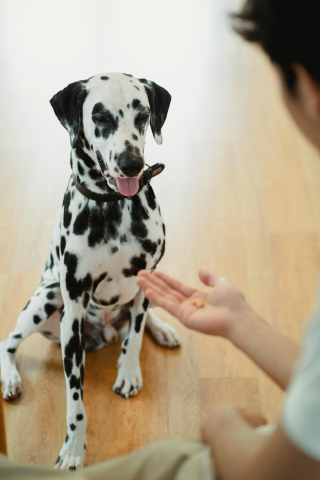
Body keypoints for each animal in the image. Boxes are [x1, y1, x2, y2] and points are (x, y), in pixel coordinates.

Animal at [0, 73, 180, 470]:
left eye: (143, 115)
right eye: (100, 117)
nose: (131, 163)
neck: (113, 208)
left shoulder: (143, 285)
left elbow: (136, 336)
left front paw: (129, 372)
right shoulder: (73, 316)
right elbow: (75, 400)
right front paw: (72, 448)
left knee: (139, 323)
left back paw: (162, 330)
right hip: (47, 298)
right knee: (8, 342)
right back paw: (11, 379)